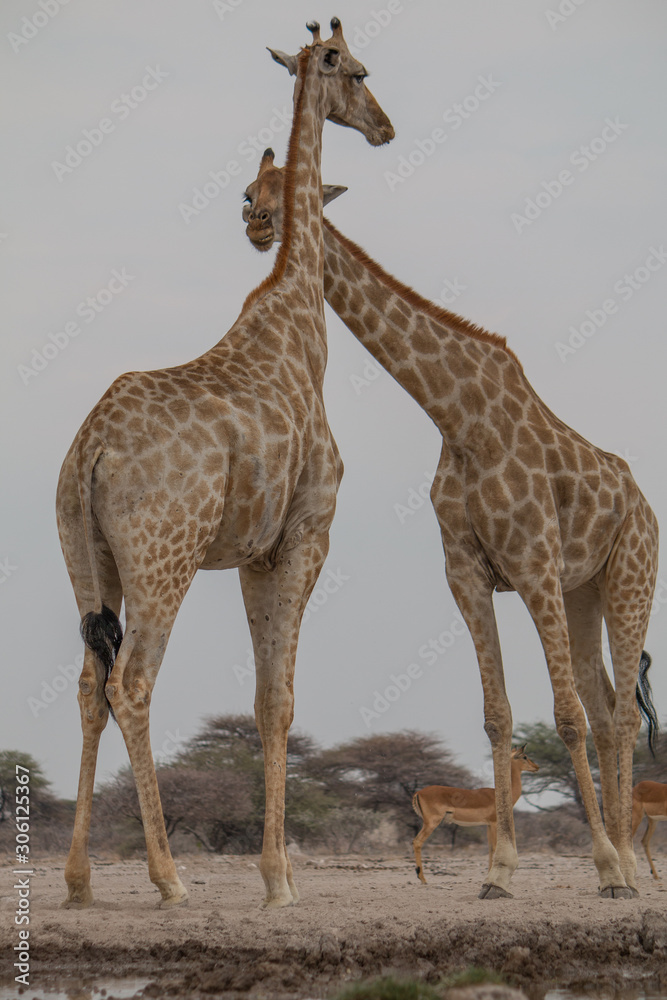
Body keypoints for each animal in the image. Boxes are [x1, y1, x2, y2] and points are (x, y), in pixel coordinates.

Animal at [55, 19, 393, 911]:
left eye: (253, 193)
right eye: (359, 73)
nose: (384, 127)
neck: (299, 323)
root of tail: (89, 450)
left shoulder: (250, 553)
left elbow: (262, 693)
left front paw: (278, 875)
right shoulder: (306, 534)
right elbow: (277, 699)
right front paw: (278, 882)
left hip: (86, 559)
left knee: (87, 688)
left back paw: (78, 880)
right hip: (162, 559)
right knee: (131, 682)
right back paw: (168, 877)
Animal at [242, 152, 659, 899]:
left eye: (298, 189)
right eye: (248, 190)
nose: (257, 223)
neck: (461, 419)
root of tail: (644, 505)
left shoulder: (534, 563)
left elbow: (564, 718)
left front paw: (606, 869)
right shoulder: (466, 571)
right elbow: (497, 717)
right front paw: (499, 873)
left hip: (629, 578)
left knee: (610, 712)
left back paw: (625, 868)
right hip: (584, 591)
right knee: (610, 709)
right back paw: (623, 857)